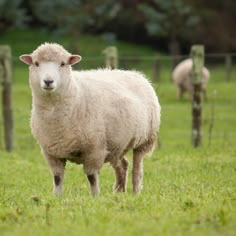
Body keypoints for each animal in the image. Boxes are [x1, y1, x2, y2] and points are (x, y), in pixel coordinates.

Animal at [20, 42, 161, 195]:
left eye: (63, 64)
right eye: (36, 63)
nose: (48, 81)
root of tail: (136, 74)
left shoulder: (95, 149)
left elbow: (92, 177)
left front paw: (95, 196)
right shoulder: (51, 152)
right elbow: (57, 178)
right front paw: (56, 197)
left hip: (145, 140)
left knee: (137, 169)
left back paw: (135, 193)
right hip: (117, 143)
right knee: (122, 165)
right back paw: (119, 192)